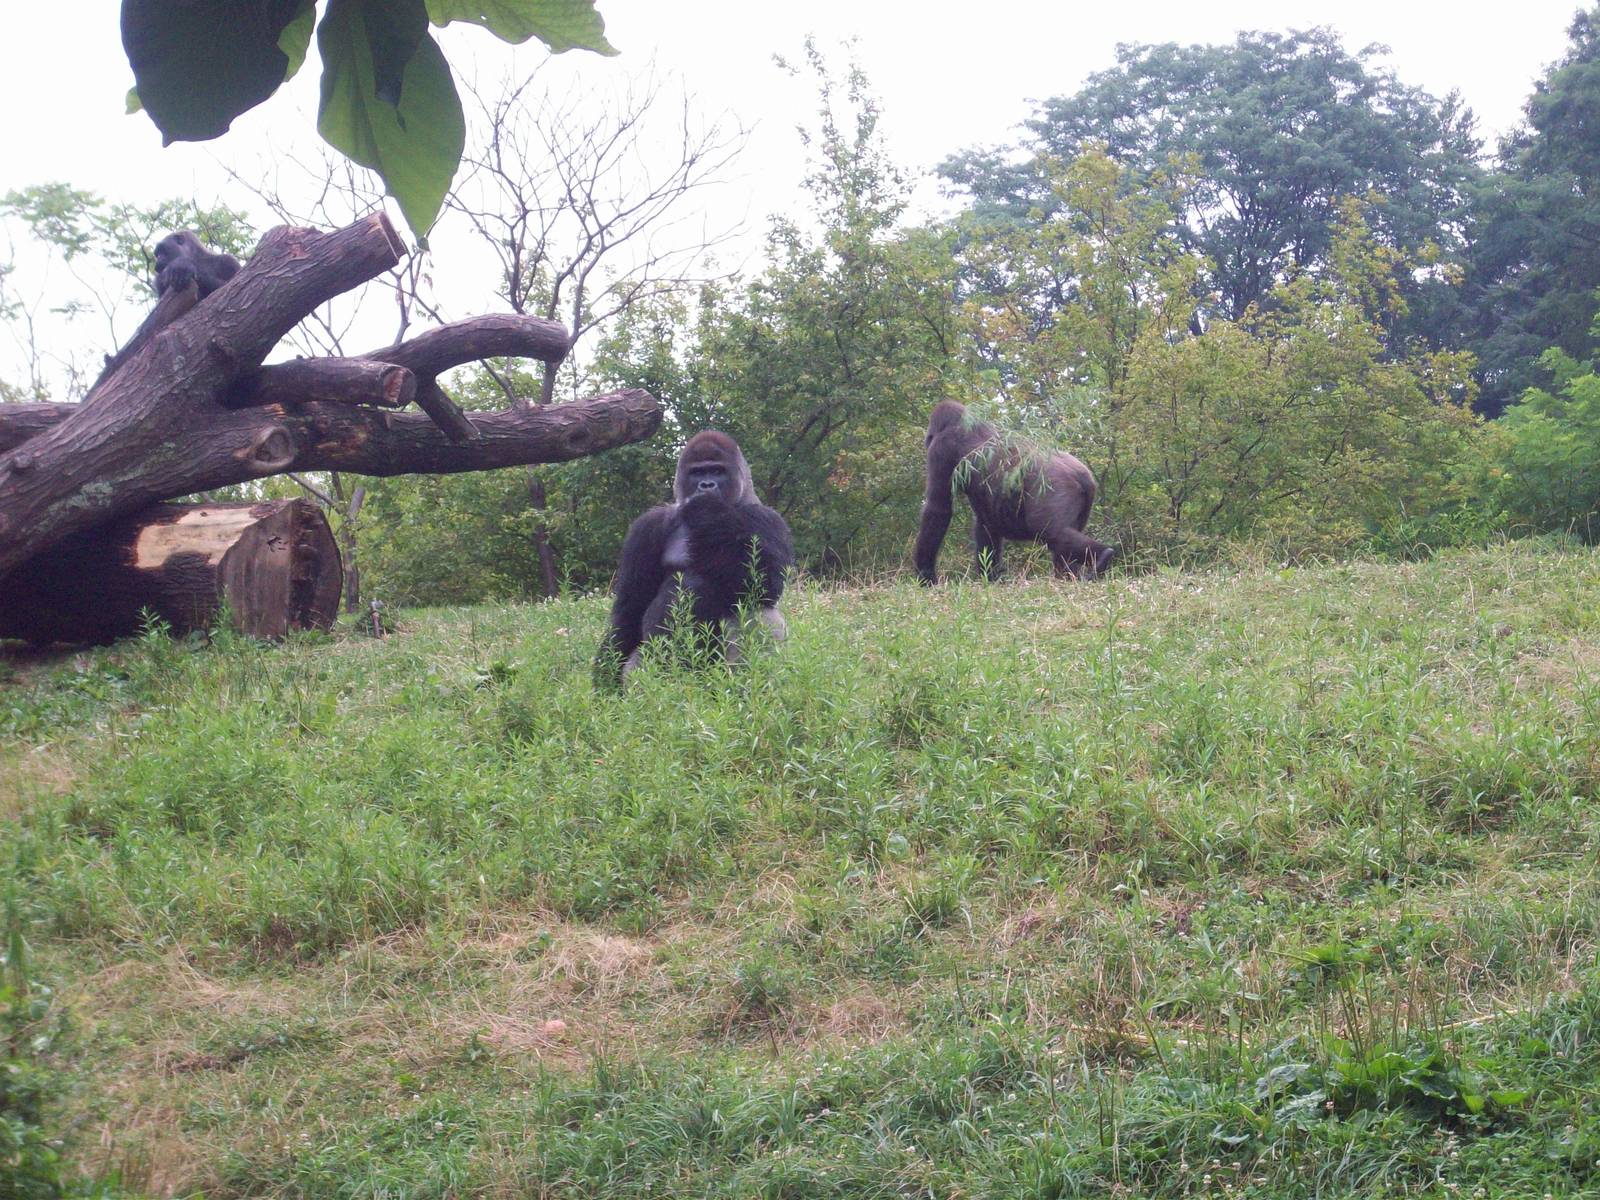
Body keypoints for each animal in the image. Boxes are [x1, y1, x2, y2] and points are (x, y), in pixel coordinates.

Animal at [594, 430, 794, 690]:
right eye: (698, 472)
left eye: (717, 471)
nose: (706, 485)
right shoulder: (647, 527)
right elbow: (630, 609)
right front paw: (605, 681)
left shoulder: (770, 519)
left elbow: (765, 583)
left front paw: (708, 509)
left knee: (759, 610)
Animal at [913, 400, 1116, 584]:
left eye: (930, 436)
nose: (926, 440)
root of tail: (1081, 474)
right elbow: (987, 527)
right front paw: (990, 578)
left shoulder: (941, 449)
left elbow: (938, 509)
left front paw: (925, 575)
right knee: (1062, 535)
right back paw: (1071, 575)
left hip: (1055, 485)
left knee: (1051, 532)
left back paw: (1102, 557)